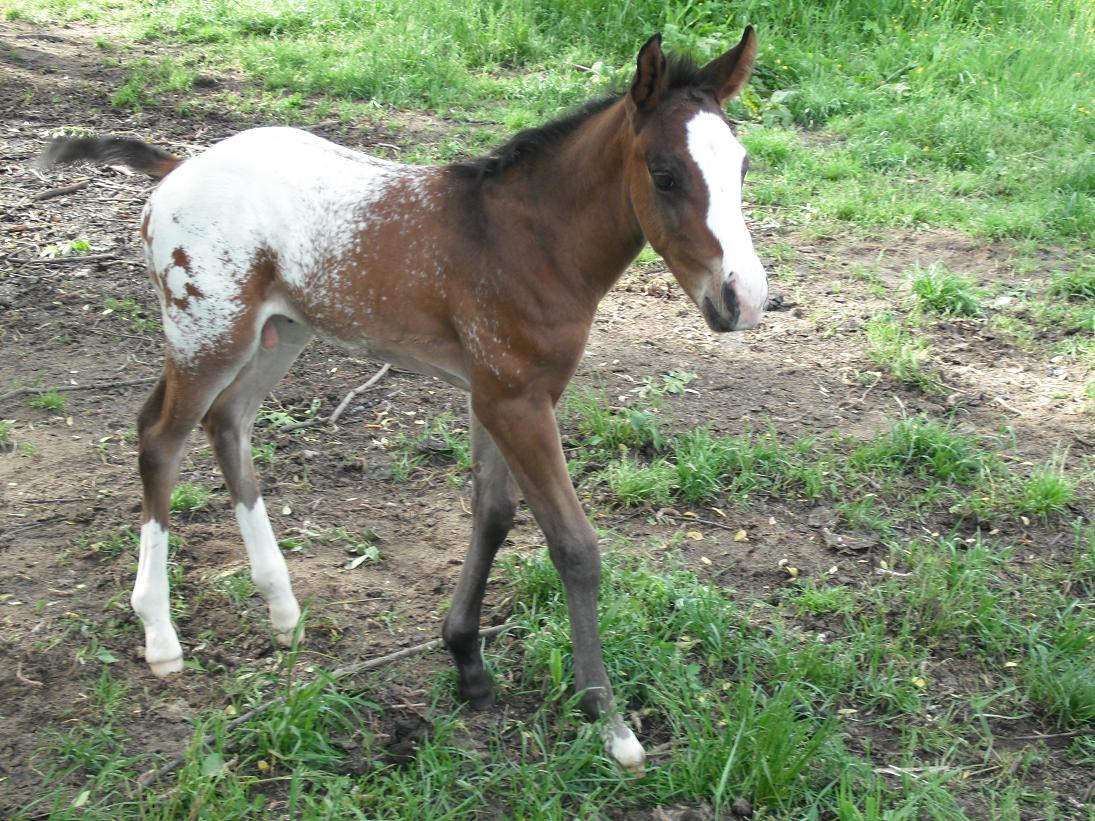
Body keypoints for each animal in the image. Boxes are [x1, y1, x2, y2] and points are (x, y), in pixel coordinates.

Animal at [40, 27, 762, 770]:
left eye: (740, 169)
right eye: (663, 173)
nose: (743, 300)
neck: (525, 241)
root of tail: (177, 166)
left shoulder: (497, 394)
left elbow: (493, 515)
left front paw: (467, 662)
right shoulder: (515, 400)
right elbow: (573, 545)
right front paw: (608, 719)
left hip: (278, 334)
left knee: (227, 424)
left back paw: (282, 610)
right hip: (206, 332)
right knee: (160, 437)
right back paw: (161, 635)